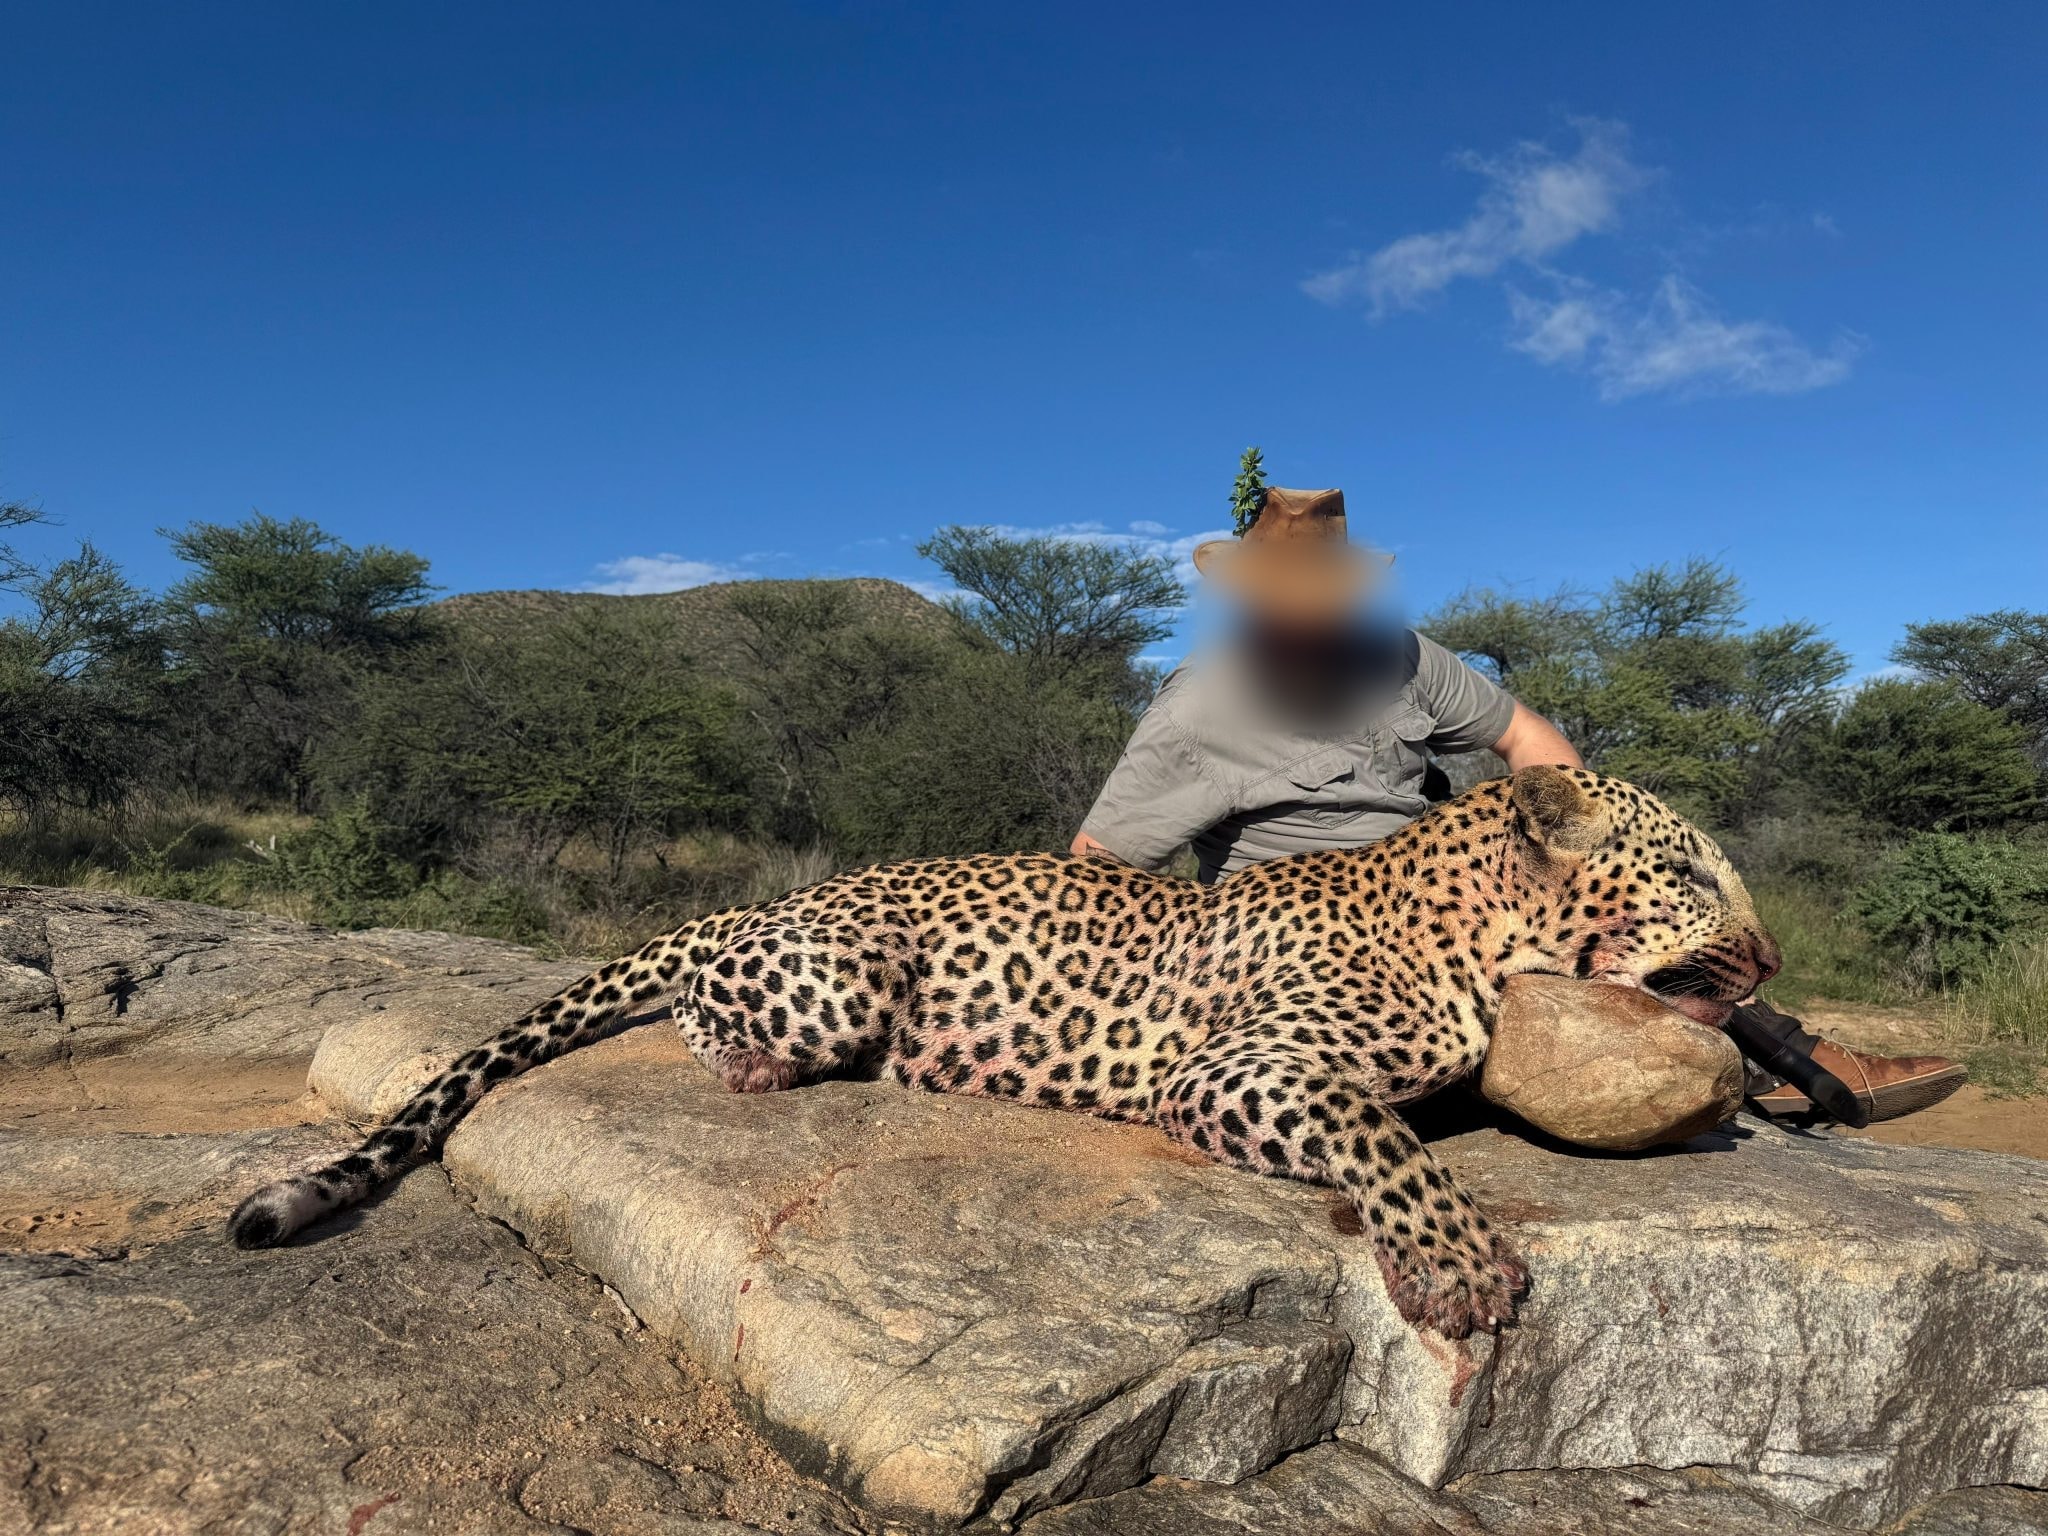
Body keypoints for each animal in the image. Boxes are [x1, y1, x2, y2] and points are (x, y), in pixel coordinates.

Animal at [228, 765, 1778, 1338]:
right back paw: (764, 1068)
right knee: (700, 1013)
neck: (1478, 936)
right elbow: (1388, 1141)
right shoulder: (1243, 1072)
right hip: (837, 982)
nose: (1769, 966)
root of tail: (767, 896)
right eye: (1687, 874)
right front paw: (1455, 1263)